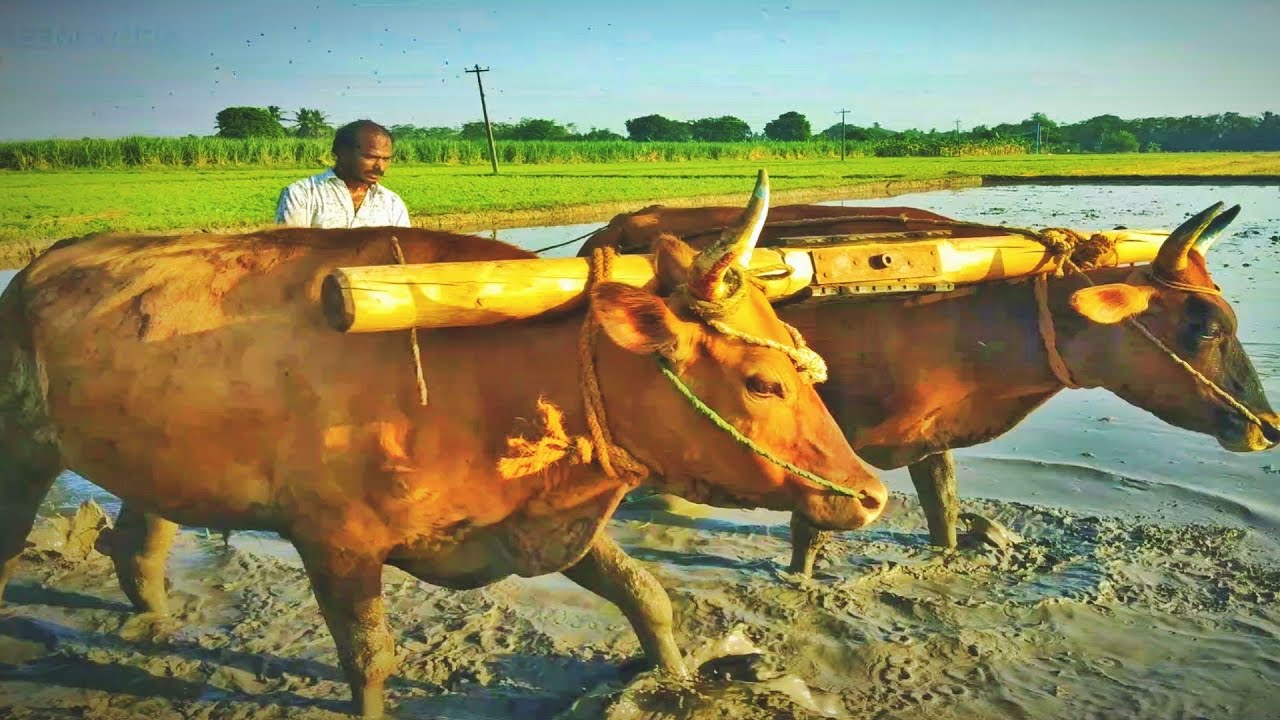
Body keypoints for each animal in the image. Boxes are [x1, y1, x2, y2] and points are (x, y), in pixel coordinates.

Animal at [0, 175, 888, 718]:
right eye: (762, 383)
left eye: (803, 354)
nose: (871, 494)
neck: (488, 377)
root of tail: (41, 264)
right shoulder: (335, 542)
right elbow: (369, 659)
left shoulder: (539, 520)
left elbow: (647, 596)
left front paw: (678, 684)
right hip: (22, 452)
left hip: (154, 460)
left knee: (139, 544)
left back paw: (151, 625)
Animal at [581, 200, 1280, 575]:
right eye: (1206, 325)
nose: (1266, 427)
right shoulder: (825, 447)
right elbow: (808, 536)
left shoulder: (928, 435)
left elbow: (943, 509)